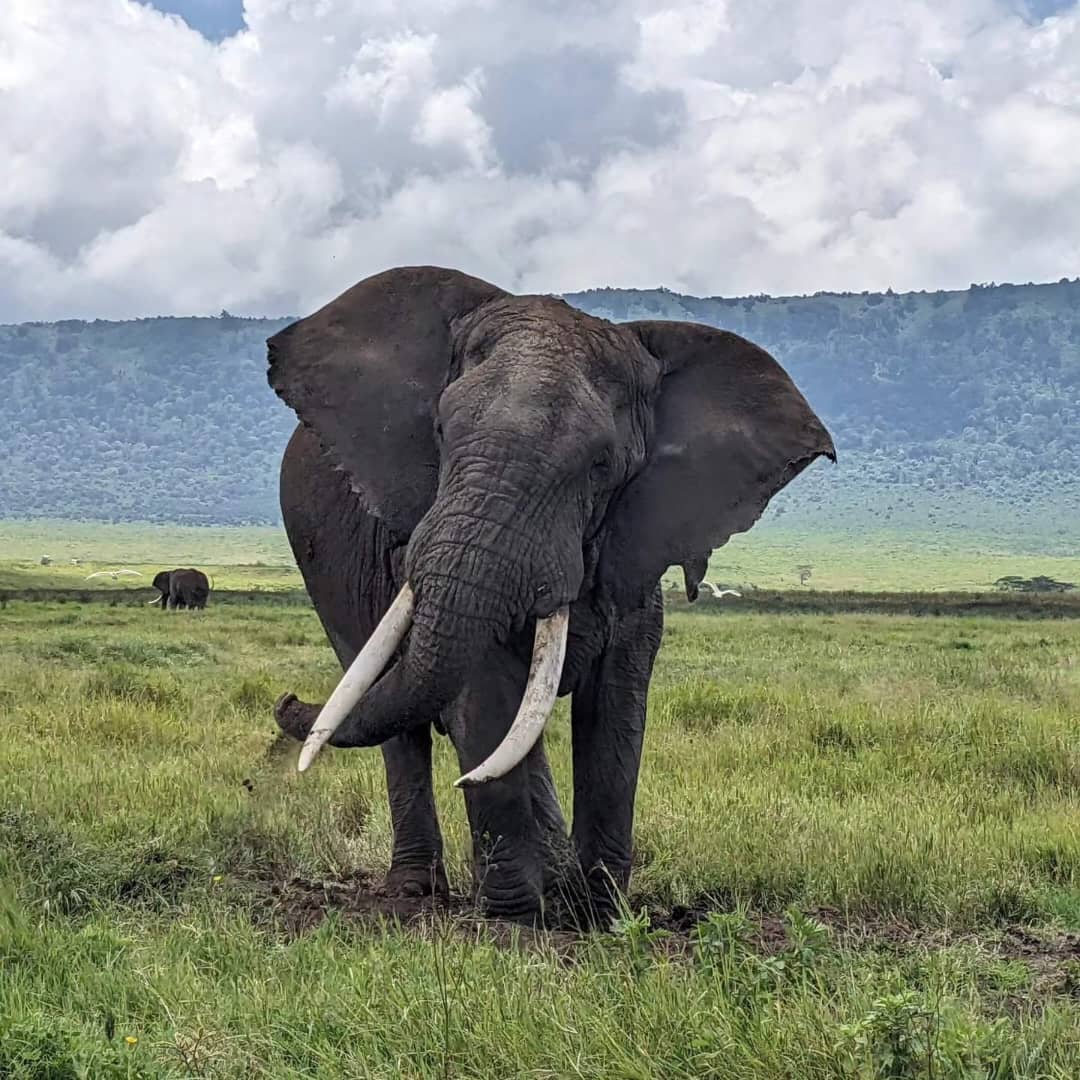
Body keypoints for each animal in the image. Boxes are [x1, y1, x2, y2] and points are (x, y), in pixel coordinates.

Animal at [267, 265, 833, 924]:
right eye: (440, 432)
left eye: (601, 465)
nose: (286, 700)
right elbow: (485, 694)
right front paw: (515, 920)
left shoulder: (636, 546)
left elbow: (616, 709)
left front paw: (601, 916)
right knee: (399, 721)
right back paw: (417, 892)